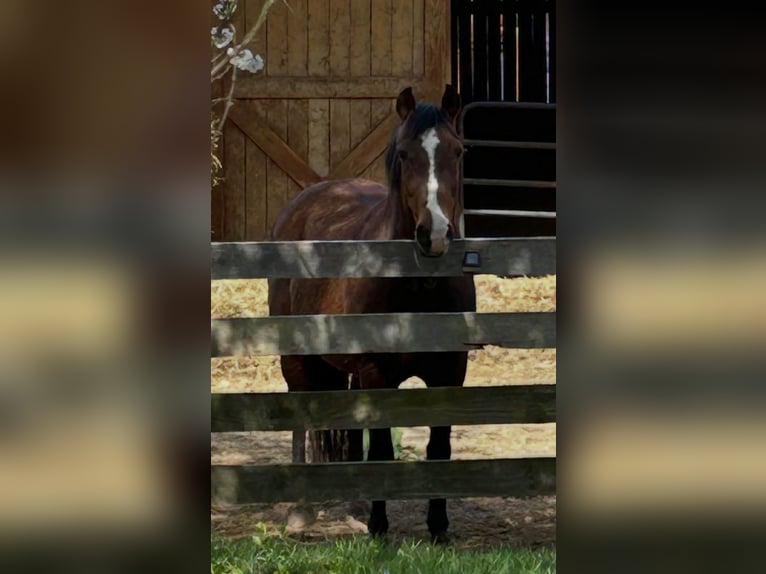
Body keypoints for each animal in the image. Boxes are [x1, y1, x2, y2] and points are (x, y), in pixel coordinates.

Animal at [267, 85, 476, 543]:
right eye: (404, 154)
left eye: (458, 151)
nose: (435, 234)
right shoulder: (377, 373)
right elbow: (380, 447)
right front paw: (380, 529)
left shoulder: (450, 372)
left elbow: (439, 447)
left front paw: (438, 528)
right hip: (297, 358)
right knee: (301, 418)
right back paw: (301, 509)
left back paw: (355, 502)